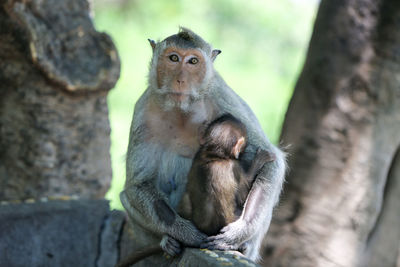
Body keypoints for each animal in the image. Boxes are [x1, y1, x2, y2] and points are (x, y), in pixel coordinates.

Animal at [120, 27, 286, 264]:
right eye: (173, 58)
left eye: (193, 61)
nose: (180, 80)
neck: (182, 108)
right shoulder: (143, 110)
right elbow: (138, 184)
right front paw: (186, 233)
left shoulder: (222, 97)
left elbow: (271, 160)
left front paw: (239, 232)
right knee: (127, 196)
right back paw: (168, 242)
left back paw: (244, 246)